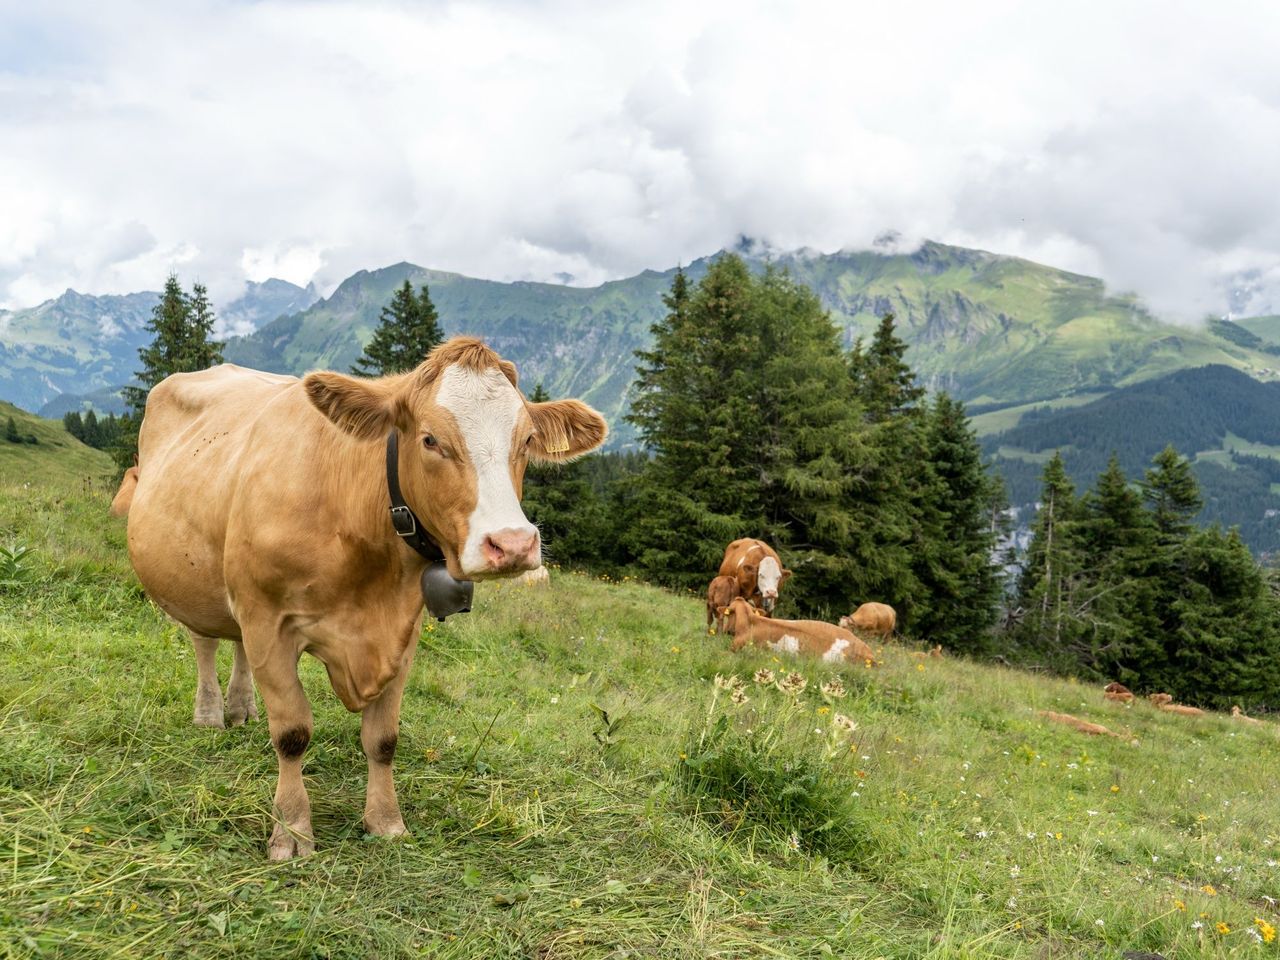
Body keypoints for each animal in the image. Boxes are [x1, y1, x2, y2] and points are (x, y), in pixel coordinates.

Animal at [112, 337, 606, 859]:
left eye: (527, 440)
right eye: (430, 440)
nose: (511, 544)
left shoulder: (402, 633)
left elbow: (383, 739)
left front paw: (386, 821)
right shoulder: (268, 621)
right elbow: (292, 734)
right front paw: (292, 831)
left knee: (236, 645)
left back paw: (242, 708)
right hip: (195, 579)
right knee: (204, 641)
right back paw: (210, 714)